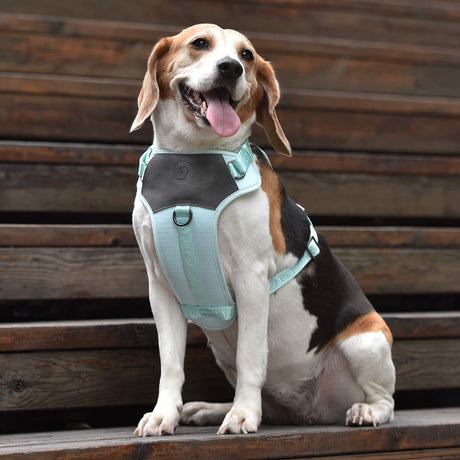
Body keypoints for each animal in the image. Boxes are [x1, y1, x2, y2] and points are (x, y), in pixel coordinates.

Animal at [130, 23, 396, 436]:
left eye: (247, 55)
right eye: (200, 43)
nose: (230, 68)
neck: (194, 158)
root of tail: (308, 410)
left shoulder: (250, 280)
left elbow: (252, 355)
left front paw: (242, 415)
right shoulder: (160, 286)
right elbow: (171, 362)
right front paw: (163, 415)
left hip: (367, 341)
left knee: (386, 401)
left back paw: (365, 411)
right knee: (268, 405)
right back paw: (211, 409)